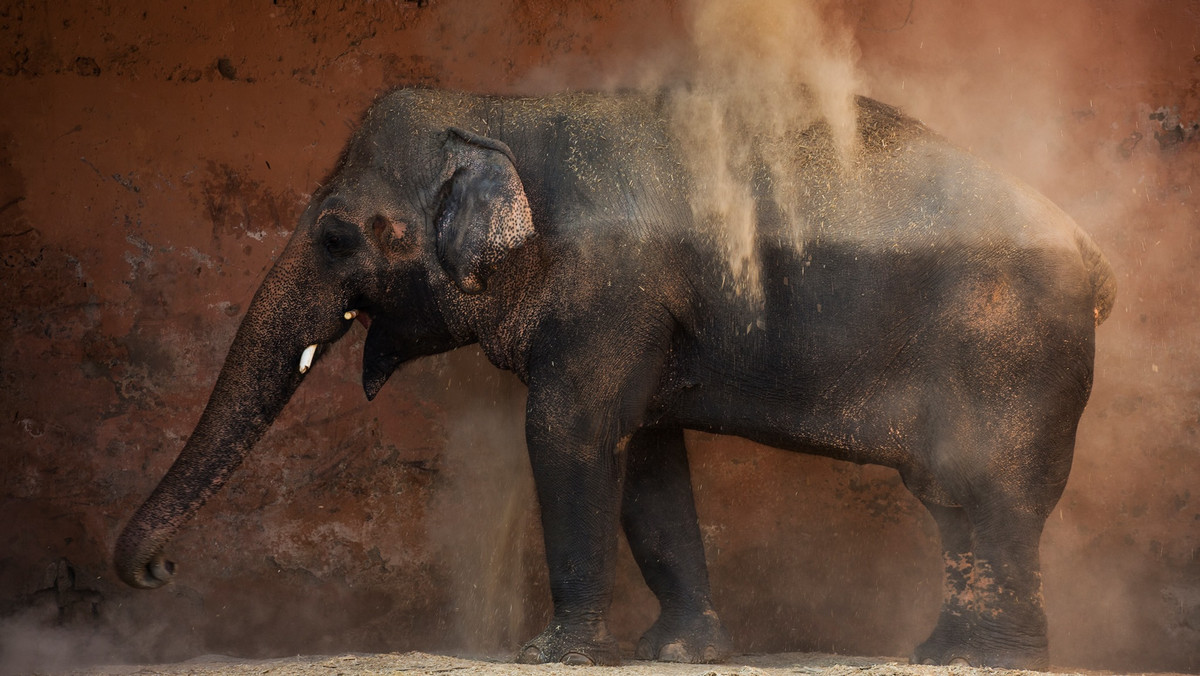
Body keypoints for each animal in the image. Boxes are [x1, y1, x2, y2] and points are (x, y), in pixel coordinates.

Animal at [114, 85, 1113, 672]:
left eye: (334, 235)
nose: (157, 570)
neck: (504, 113)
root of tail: (1093, 251)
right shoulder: (644, 318)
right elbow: (647, 462)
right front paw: (677, 652)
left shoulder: (611, 289)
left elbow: (569, 436)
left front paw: (549, 654)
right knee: (957, 504)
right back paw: (940, 651)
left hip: (1014, 355)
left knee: (992, 495)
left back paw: (990, 661)